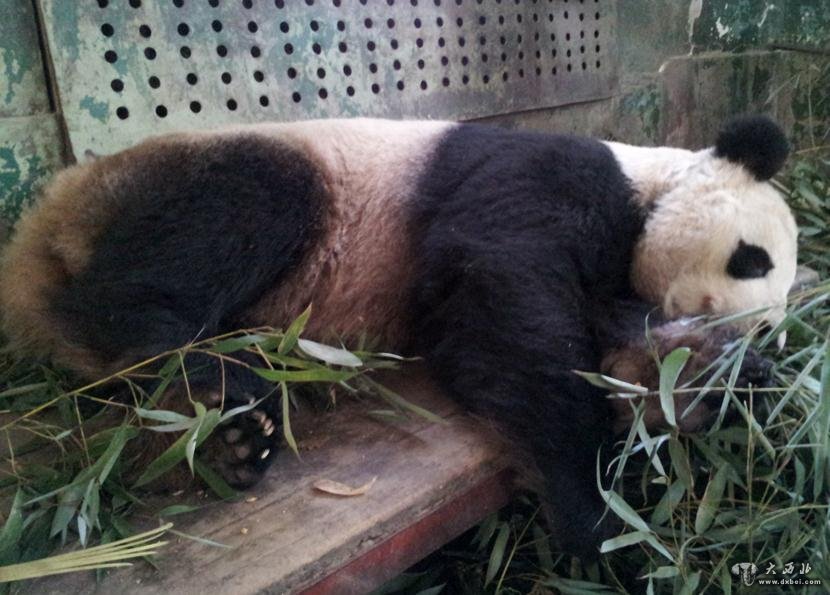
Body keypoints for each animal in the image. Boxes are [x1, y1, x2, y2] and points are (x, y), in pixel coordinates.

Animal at [0, 115, 796, 560]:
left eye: (776, 313)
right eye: (750, 257)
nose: (748, 327)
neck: (648, 183)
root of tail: (41, 227)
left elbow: (610, 348)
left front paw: (715, 380)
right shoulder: (546, 177)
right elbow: (498, 287)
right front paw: (596, 515)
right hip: (189, 180)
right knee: (223, 222)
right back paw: (212, 393)